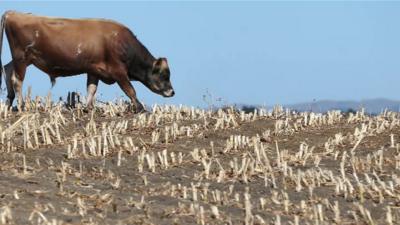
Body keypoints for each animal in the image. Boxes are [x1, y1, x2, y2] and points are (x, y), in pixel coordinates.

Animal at [0, 11, 175, 111]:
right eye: (164, 75)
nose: (172, 92)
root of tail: (13, 13)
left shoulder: (94, 70)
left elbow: (91, 89)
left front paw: (88, 107)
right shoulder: (118, 71)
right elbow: (130, 90)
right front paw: (139, 107)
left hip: (23, 59)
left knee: (7, 69)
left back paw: (9, 101)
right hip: (21, 58)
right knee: (17, 80)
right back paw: (22, 105)